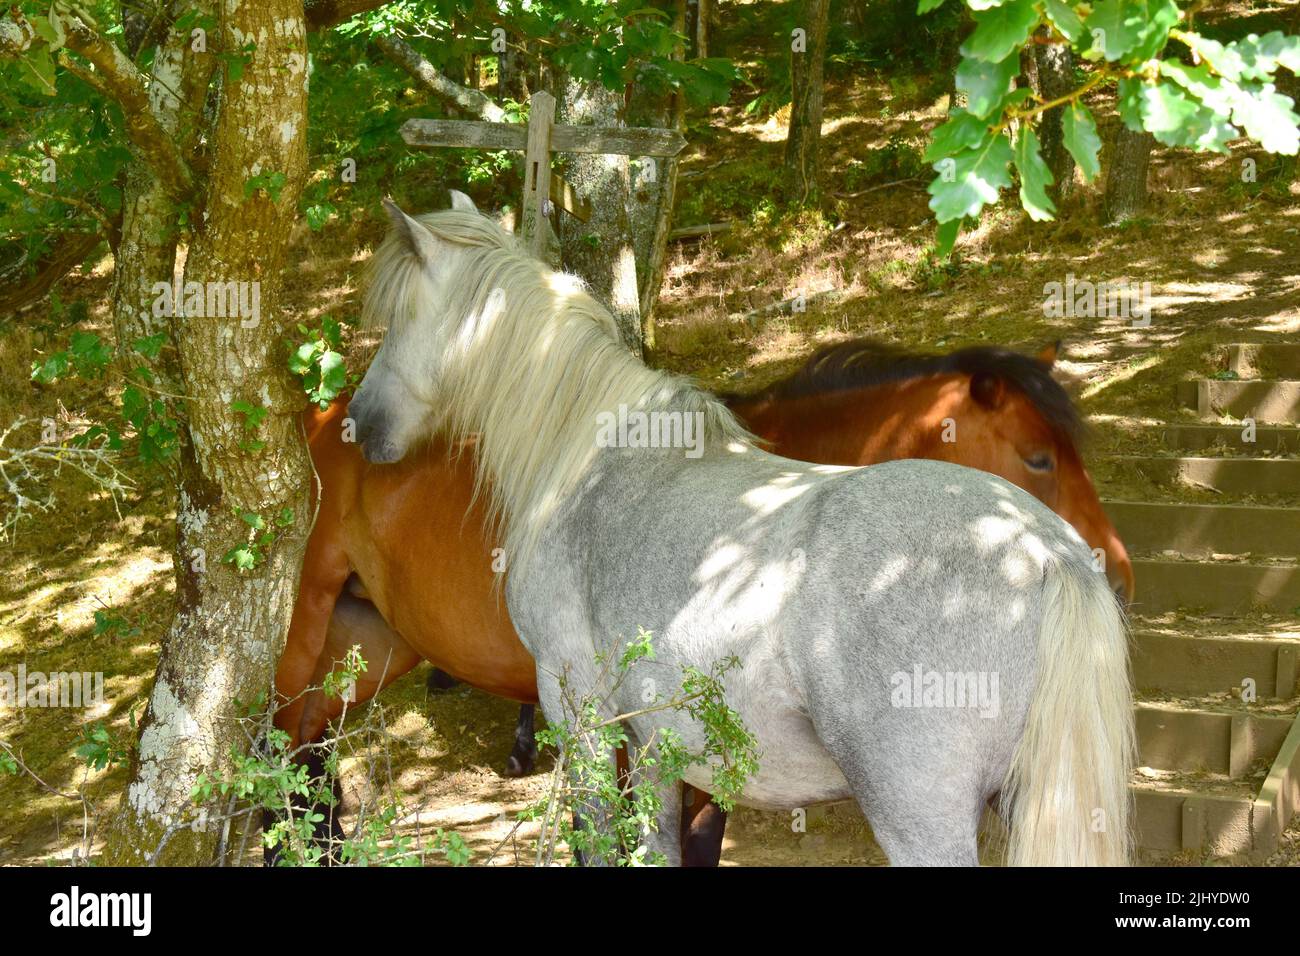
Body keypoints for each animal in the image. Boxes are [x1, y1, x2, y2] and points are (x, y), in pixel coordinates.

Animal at [274, 338, 1128, 868]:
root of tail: (322, 418)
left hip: (371, 647)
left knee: (311, 761)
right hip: (301, 642)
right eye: (1039, 458)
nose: (1116, 571)